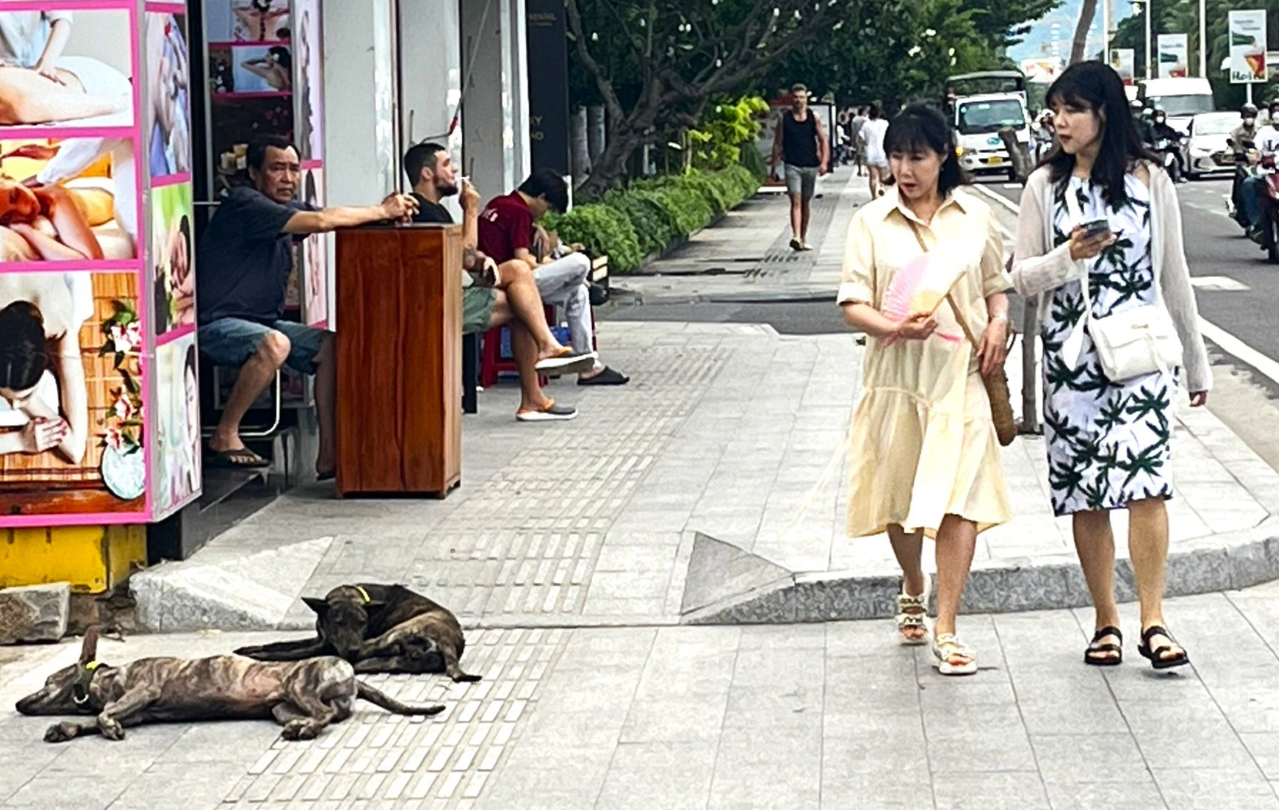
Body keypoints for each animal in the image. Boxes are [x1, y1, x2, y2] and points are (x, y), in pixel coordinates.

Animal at [12, 629, 445, 742]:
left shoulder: (144, 690)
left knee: (324, 714)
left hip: (301, 685)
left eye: (47, 681)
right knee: (327, 716)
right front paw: (66, 728)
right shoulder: (137, 712)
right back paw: (300, 727)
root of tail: (351, 675)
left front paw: (104, 725)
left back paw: (307, 728)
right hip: (282, 706)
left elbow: (105, 714)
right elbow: (96, 718)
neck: (107, 678)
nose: (17, 704)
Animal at [232, 580, 480, 680]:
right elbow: (281, 643)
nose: (352, 649)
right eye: (339, 622)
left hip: (391, 634)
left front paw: (258, 655)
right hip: (395, 656)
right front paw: (248, 648)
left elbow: (288, 652)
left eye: (362, 623)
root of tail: (453, 641)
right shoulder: (321, 640)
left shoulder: (326, 645)